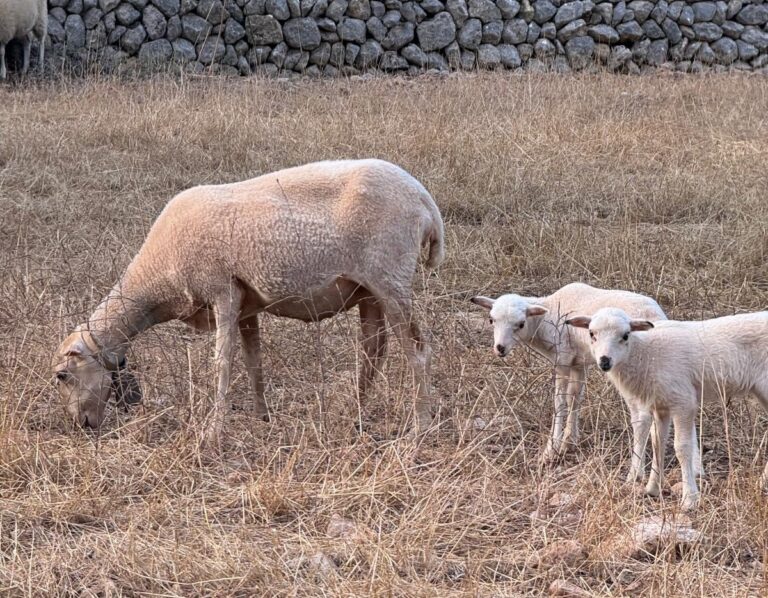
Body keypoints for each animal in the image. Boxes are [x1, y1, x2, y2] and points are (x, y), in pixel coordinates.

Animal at [51, 159, 444, 446]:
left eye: (62, 375)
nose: (81, 426)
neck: (158, 278)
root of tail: (426, 201)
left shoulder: (222, 292)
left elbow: (222, 364)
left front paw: (213, 431)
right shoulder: (246, 305)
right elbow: (254, 361)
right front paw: (261, 417)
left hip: (390, 279)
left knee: (417, 351)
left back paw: (420, 427)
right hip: (367, 290)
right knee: (373, 350)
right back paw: (356, 416)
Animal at [472, 284, 688, 480]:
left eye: (521, 324)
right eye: (491, 320)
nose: (500, 348)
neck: (547, 317)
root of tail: (657, 317)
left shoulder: (562, 358)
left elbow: (559, 402)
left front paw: (551, 449)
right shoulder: (579, 363)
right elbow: (574, 398)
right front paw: (570, 440)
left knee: (642, 418)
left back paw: (636, 473)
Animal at [564, 310, 768, 510]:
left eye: (626, 335)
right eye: (592, 333)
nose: (605, 361)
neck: (645, 353)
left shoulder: (683, 402)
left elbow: (682, 447)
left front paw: (690, 499)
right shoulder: (660, 406)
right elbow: (657, 443)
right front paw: (653, 488)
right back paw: (762, 483)